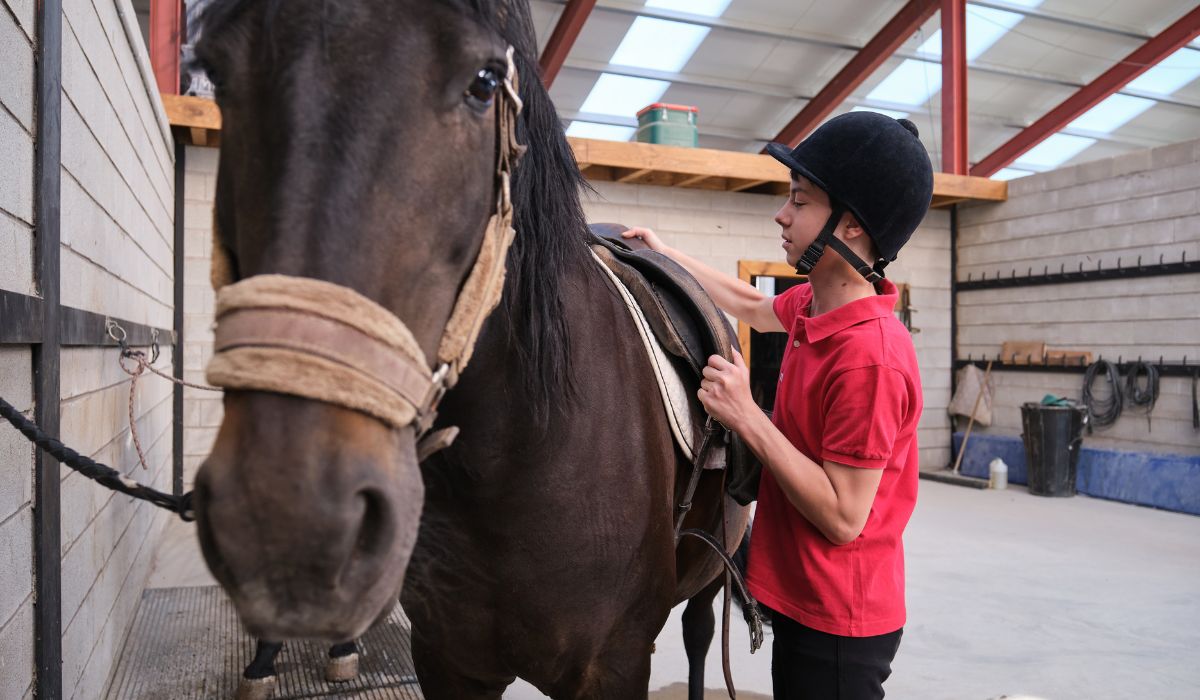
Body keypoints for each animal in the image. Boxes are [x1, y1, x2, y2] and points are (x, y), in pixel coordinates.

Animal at [191, 1, 750, 697]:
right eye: (216, 71)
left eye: (484, 84)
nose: (283, 518)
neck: (519, 450)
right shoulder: (446, 658)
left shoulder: (614, 664)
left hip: (711, 575)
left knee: (700, 636)